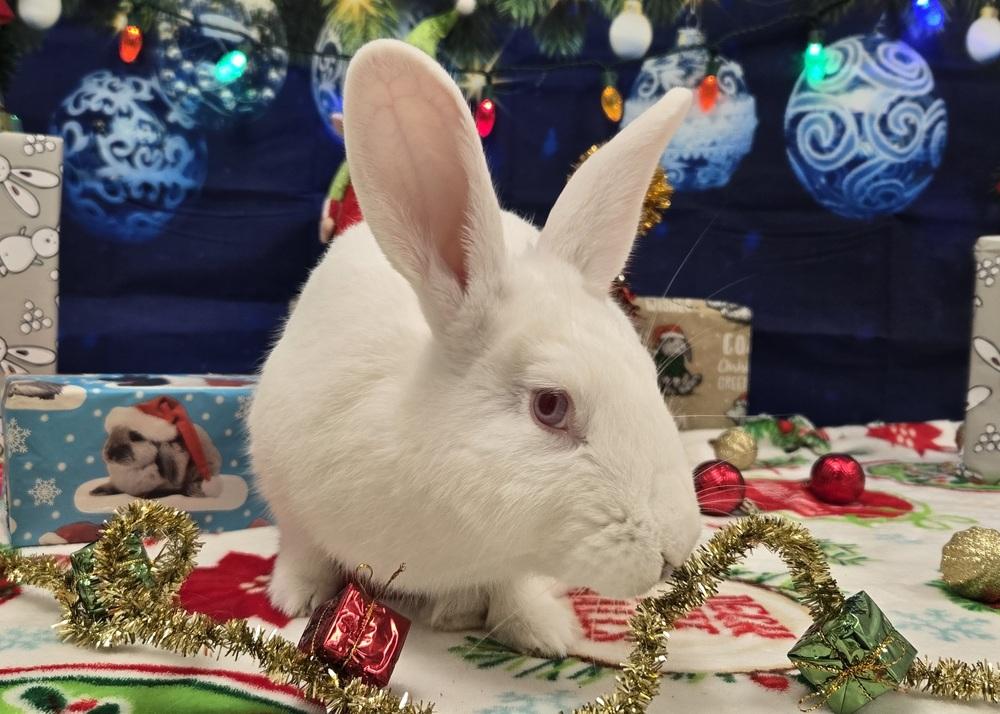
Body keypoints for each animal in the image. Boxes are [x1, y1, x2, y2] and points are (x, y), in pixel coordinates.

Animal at [248, 39, 702, 657]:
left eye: (648, 377)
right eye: (550, 405)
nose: (676, 550)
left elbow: (514, 586)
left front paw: (543, 630)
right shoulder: (286, 485)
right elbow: (303, 548)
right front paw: (295, 596)